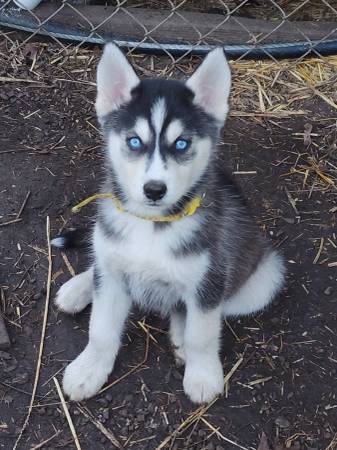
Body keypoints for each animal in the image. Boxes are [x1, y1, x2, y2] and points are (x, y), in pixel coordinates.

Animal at [53, 44, 284, 404]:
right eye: (134, 141)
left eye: (182, 143)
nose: (154, 189)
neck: (153, 224)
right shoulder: (114, 275)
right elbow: (101, 329)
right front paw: (88, 370)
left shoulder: (209, 281)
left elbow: (201, 334)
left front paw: (202, 375)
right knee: (100, 264)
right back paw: (79, 287)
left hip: (265, 279)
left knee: (188, 311)